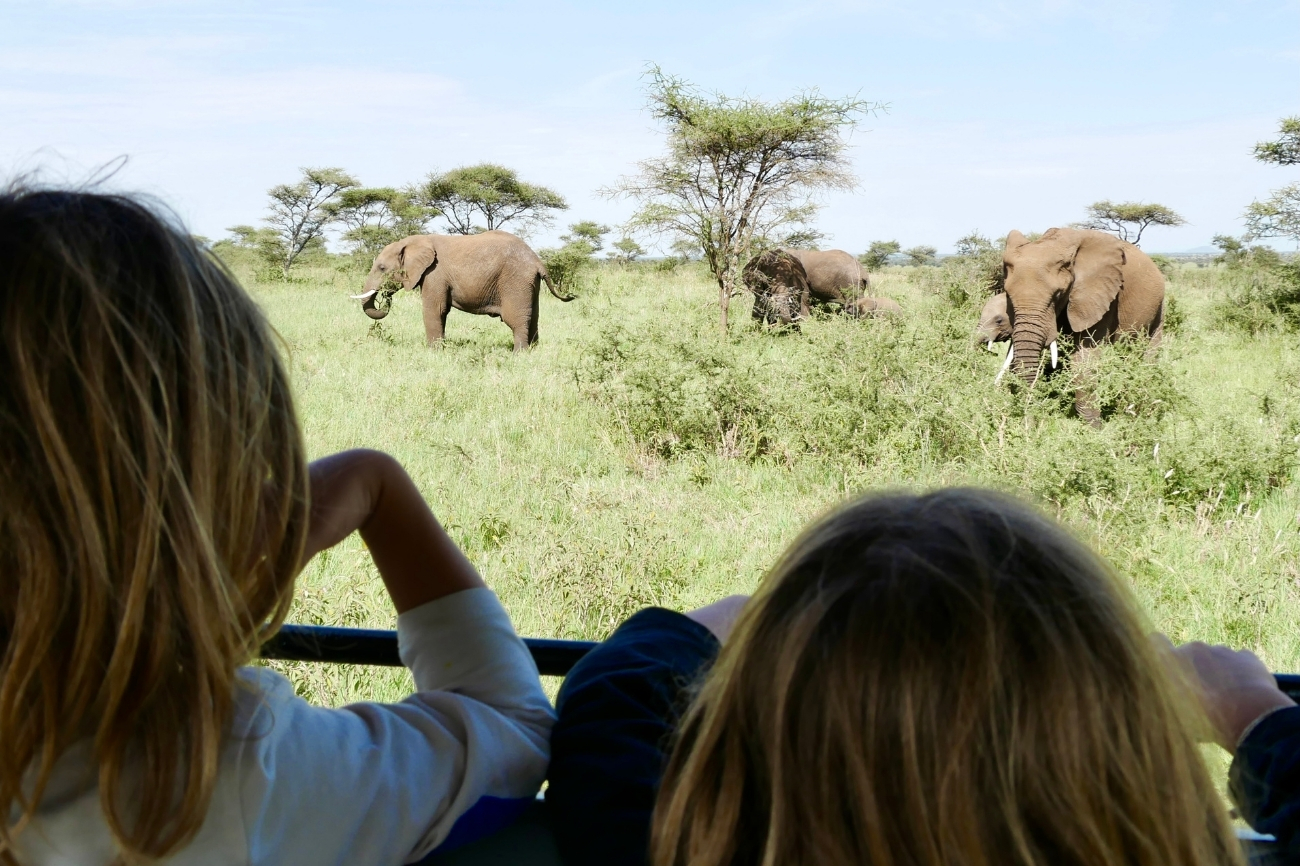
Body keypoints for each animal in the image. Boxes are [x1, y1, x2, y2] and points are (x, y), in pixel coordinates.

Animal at [351, 231, 569, 353]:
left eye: (381, 268)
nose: (386, 295)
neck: (414, 241)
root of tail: (538, 261)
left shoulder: (434, 273)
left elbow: (434, 310)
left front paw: (434, 353)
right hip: (530, 283)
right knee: (534, 318)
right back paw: (533, 352)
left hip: (516, 281)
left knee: (517, 320)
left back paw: (519, 355)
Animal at [998, 226, 1164, 421]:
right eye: (1008, 295)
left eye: (1057, 294)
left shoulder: (1102, 298)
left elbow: (1085, 359)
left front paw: (1093, 426)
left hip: (1158, 307)